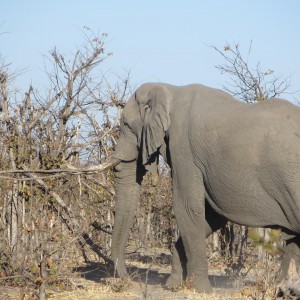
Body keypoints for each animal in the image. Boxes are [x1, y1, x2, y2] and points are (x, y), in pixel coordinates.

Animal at [109, 82, 300, 292]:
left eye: (126, 125)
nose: (128, 279)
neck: (171, 90)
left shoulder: (183, 148)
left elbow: (187, 208)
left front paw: (200, 289)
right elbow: (212, 216)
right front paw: (173, 285)